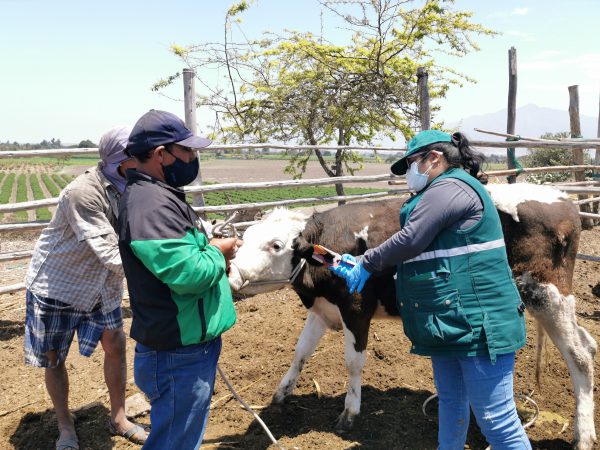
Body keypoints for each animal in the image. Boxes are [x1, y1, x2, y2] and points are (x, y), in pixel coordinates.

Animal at [229, 184, 596, 450]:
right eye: (244, 240)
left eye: (276, 245)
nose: (232, 277)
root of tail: (562, 199)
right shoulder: (323, 309)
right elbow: (301, 352)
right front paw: (281, 393)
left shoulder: (355, 309)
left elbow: (353, 363)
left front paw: (349, 411)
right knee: (588, 343)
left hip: (546, 294)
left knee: (579, 356)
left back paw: (584, 435)